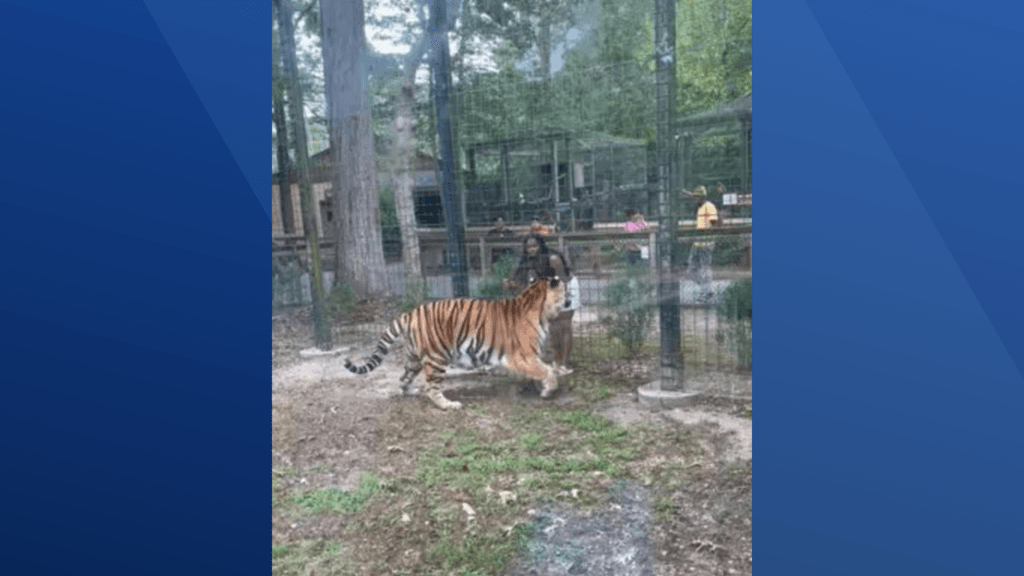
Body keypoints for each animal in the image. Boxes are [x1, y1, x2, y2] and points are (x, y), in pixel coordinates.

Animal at [342, 276, 569, 407]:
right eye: (565, 290)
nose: (570, 300)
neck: (541, 310)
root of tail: (410, 313)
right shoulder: (522, 355)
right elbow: (546, 370)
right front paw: (549, 390)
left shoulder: (528, 357)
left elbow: (542, 369)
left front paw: (540, 388)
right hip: (437, 357)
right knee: (431, 387)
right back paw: (449, 405)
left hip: (413, 359)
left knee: (404, 378)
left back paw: (410, 392)